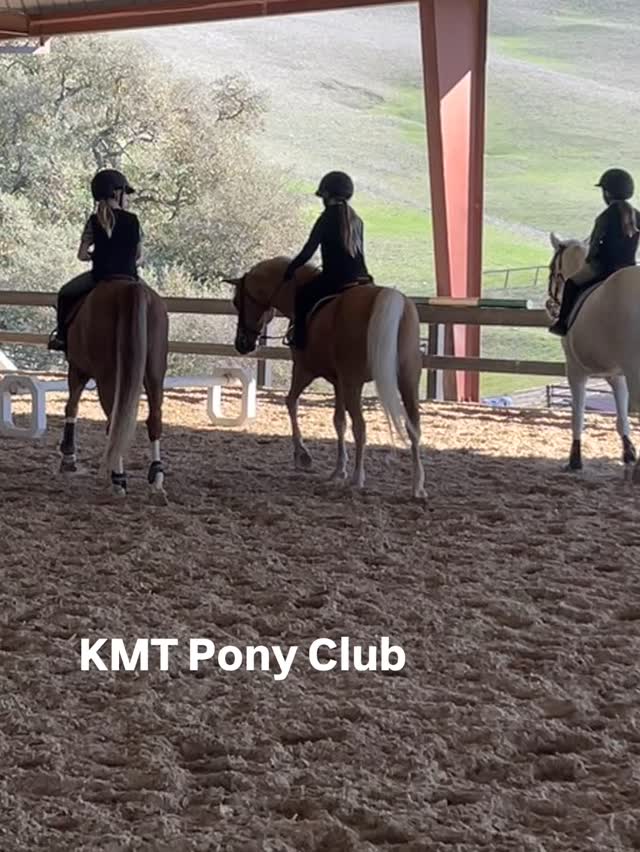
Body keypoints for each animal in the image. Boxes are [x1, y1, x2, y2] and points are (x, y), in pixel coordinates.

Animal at [59, 276, 169, 500]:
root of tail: (130, 288)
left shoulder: (77, 368)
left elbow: (71, 407)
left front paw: (68, 456)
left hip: (107, 374)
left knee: (113, 420)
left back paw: (118, 480)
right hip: (155, 371)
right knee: (154, 419)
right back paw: (156, 480)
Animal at [224, 256, 425, 499]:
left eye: (237, 302)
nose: (242, 344)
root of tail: (388, 297)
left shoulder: (304, 370)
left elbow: (291, 402)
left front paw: (302, 455)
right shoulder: (337, 382)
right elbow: (338, 421)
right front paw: (338, 470)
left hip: (353, 383)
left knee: (361, 427)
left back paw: (357, 479)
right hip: (407, 381)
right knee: (413, 427)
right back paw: (417, 486)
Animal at [547, 232, 640, 478]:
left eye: (551, 268)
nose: (550, 305)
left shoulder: (575, 370)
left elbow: (578, 415)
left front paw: (574, 459)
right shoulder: (616, 374)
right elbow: (621, 416)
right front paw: (628, 453)